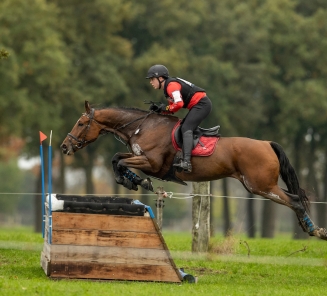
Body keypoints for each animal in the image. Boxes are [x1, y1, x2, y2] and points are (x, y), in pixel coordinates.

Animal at [61, 101, 327, 240]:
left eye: (81, 123)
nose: (64, 146)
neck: (141, 127)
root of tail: (267, 143)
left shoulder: (152, 163)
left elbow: (120, 163)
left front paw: (135, 181)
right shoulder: (141, 158)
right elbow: (116, 158)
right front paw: (135, 181)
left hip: (260, 185)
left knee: (294, 200)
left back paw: (314, 230)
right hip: (261, 185)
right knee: (293, 198)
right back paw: (310, 228)